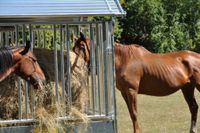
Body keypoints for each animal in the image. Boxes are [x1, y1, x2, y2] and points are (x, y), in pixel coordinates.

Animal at [72, 32, 200, 133]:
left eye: (82, 46)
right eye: (74, 48)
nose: (74, 65)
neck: (124, 59)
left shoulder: (131, 90)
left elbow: (134, 113)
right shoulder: (124, 92)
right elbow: (131, 113)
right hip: (187, 87)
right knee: (193, 107)